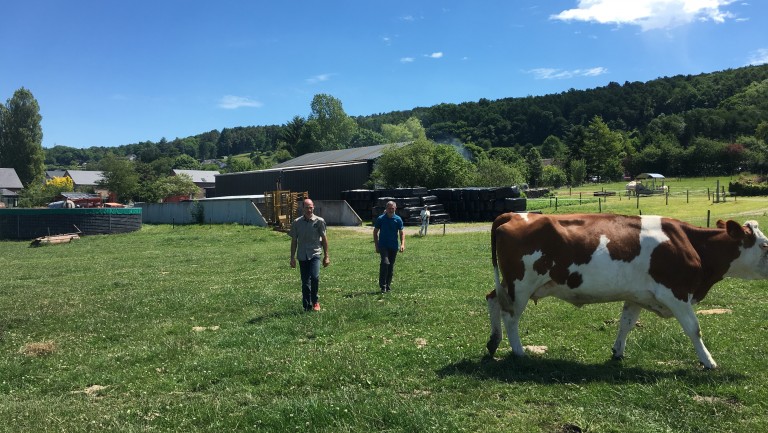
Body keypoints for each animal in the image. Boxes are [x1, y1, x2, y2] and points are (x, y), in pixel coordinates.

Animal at [486, 211, 768, 366]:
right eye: (765, 245)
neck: (690, 243)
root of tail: (514, 214)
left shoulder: (637, 296)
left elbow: (626, 323)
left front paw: (617, 352)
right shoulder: (675, 293)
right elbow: (694, 329)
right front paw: (708, 361)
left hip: (509, 285)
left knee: (492, 299)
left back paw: (493, 342)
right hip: (520, 285)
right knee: (510, 316)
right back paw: (519, 351)